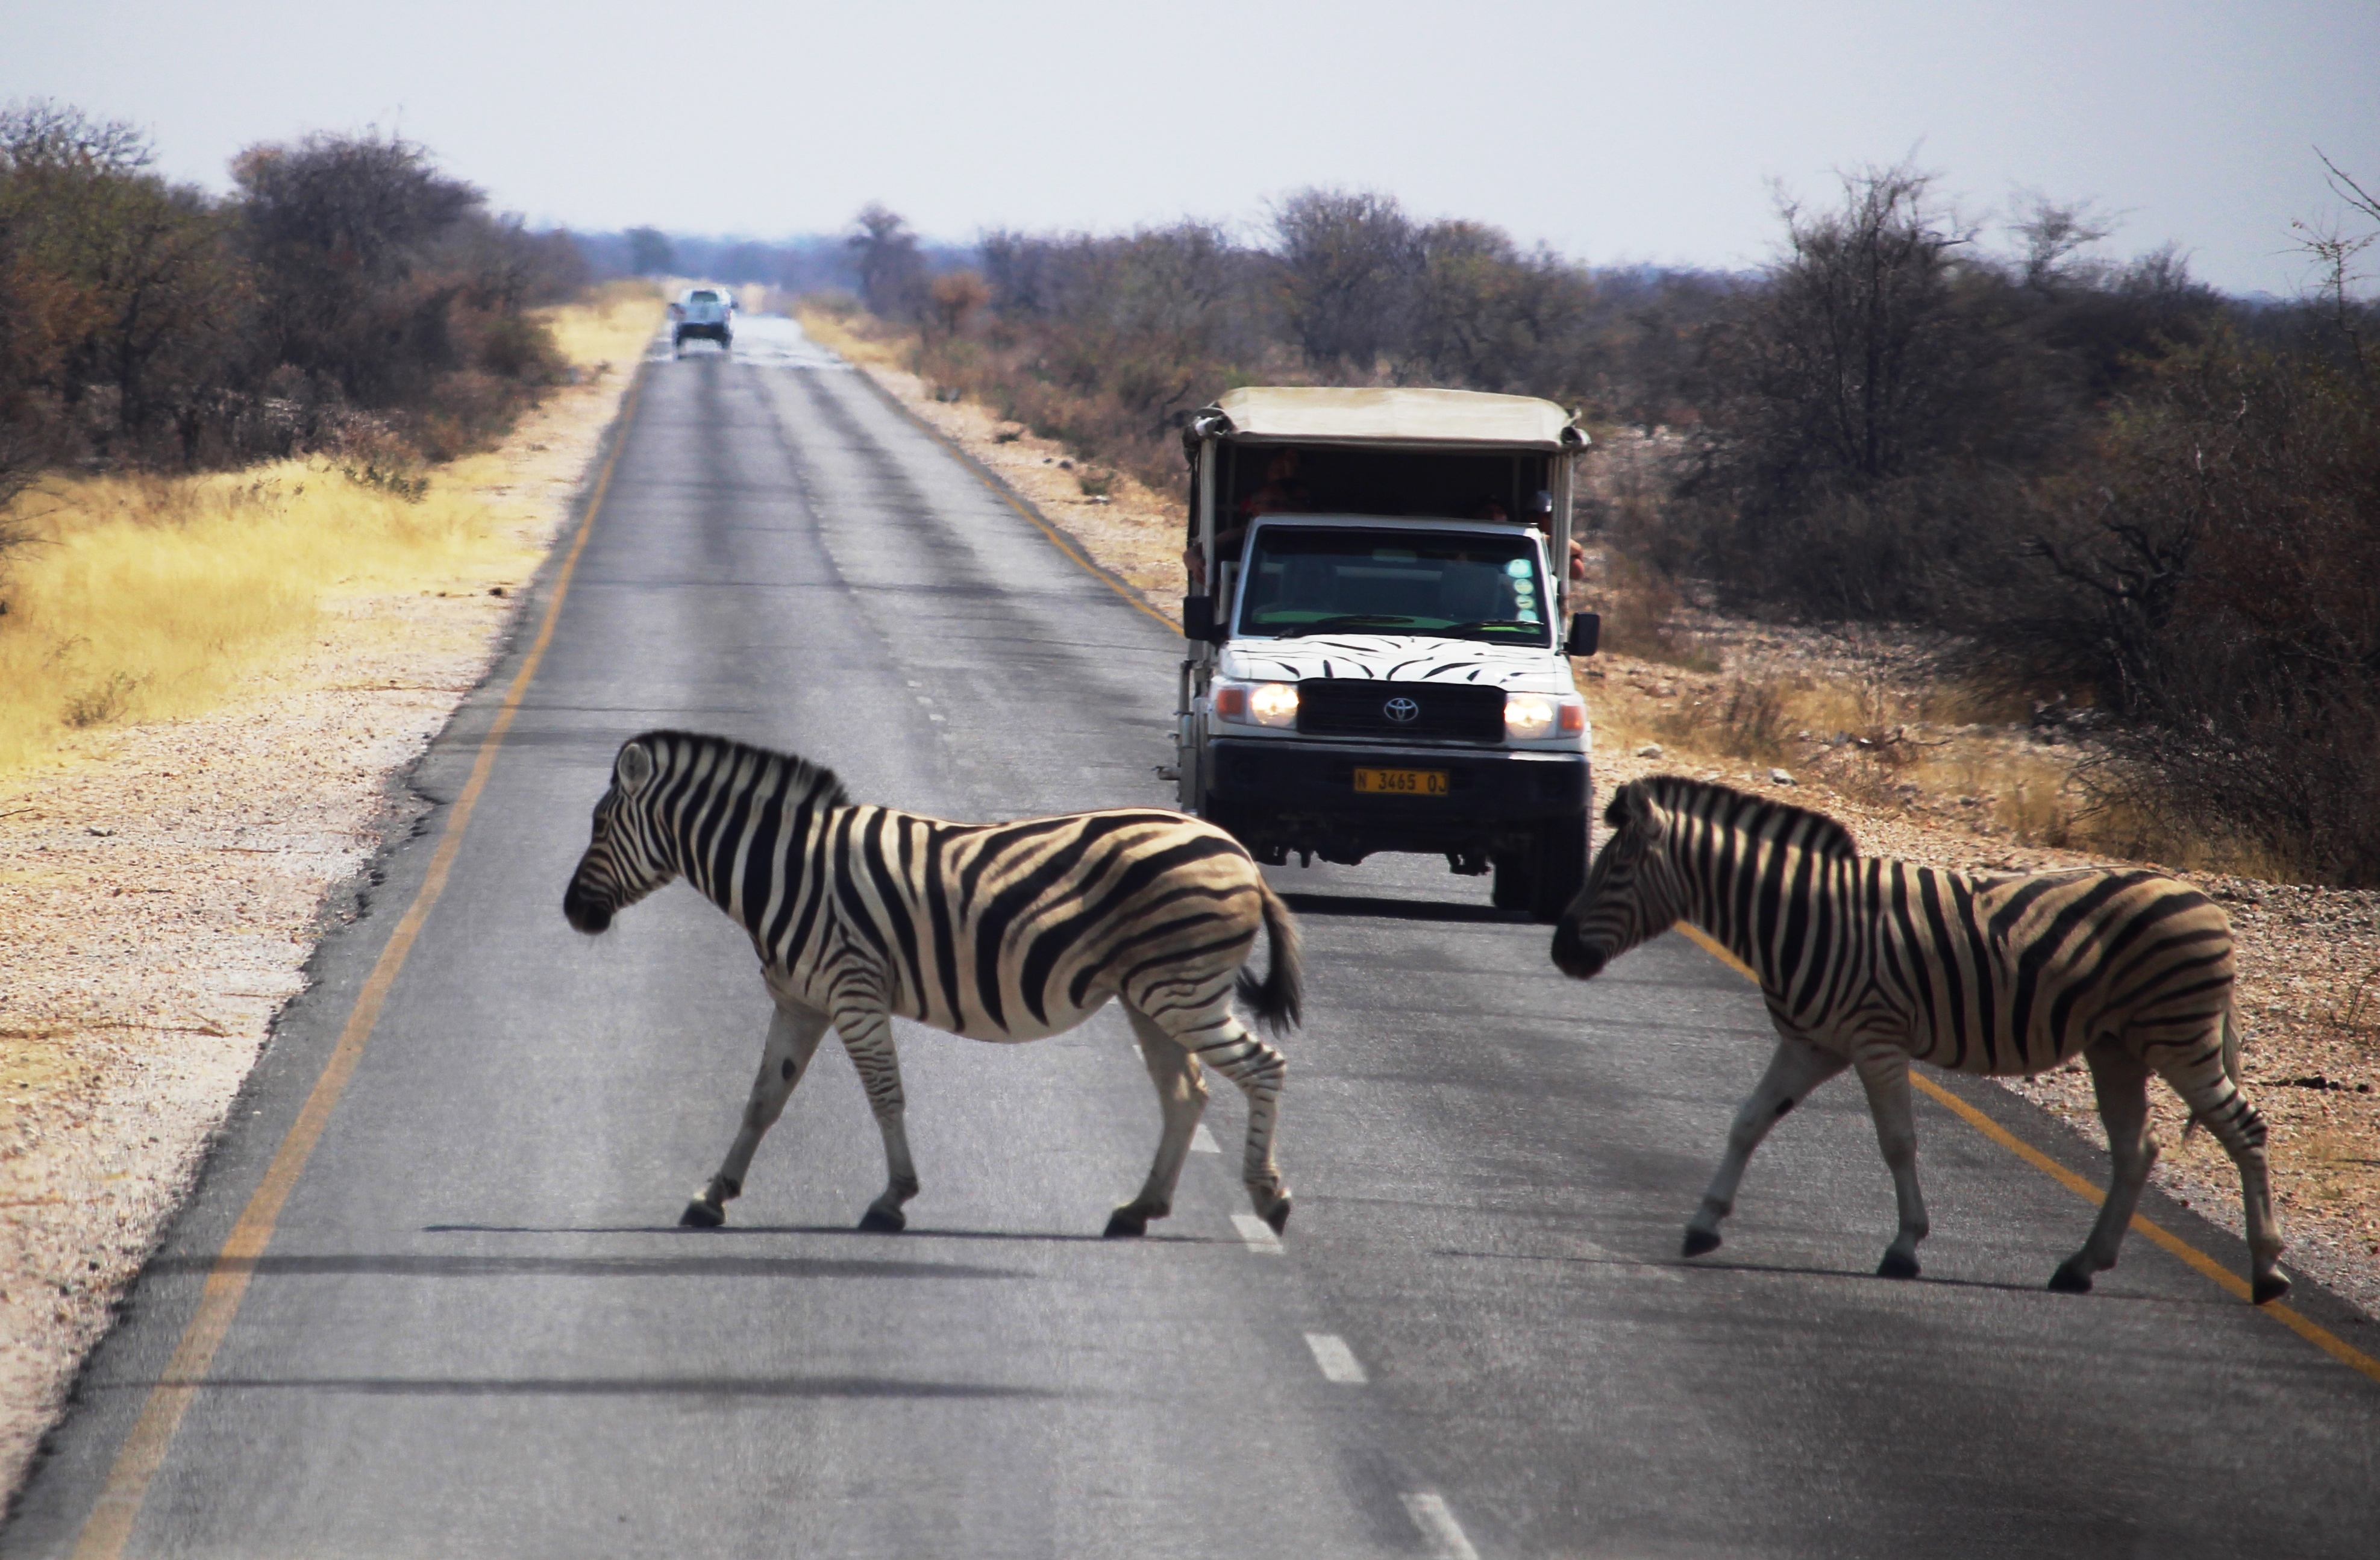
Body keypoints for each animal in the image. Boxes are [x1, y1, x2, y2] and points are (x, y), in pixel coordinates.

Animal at [561, 730, 1300, 1238]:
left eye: (598, 824)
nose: (571, 912)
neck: (783, 870)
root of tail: (1236, 850)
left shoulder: (852, 990)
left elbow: (885, 1095)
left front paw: (893, 1199)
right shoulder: (800, 1002)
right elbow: (762, 1100)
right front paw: (713, 1194)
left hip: (1181, 989)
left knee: (1264, 1066)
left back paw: (1269, 1198)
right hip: (1151, 996)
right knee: (1185, 1095)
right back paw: (1139, 1209)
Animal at [1549, 776, 2286, 1304]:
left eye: (1616, 870)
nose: (1560, 953)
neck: (1797, 919)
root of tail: (2200, 896)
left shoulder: (1874, 1040)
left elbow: (1897, 1142)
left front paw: (1904, 1248)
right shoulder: (1810, 1044)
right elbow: (1747, 1122)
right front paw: (1703, 1223)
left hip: (2177, 1035)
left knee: (2244, 1129)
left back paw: (2266, 1273)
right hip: (2116, 1046)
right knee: (2137, 1148)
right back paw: (2080, 1266)